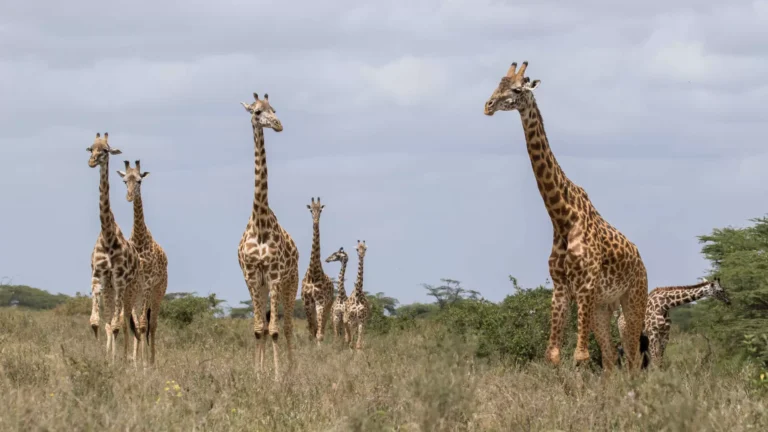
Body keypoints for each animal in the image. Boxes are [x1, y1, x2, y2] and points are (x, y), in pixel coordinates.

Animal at [117, 160, 169, 366]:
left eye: (139, 180)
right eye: (124, 181)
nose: (129, 196)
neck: (140, 240)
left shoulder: (147, 285)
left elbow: (144, 325)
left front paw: (145, 364)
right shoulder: (131, 287)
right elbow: (131, 325)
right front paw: (132, 361)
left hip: (158, 291)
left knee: (152, 325)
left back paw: (152, 361)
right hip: (139, 295)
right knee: (138, 324)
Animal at [484, 61, 648, 372]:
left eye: (517, 90)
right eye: (497, 84)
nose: (488, 106)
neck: (562, 218)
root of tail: (640, 259)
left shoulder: (585, 286)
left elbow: (580, 356)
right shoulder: (561, 288)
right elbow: (553, 355)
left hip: (633, 300)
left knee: (632, 359)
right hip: (602, 307)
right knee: (611, 358)